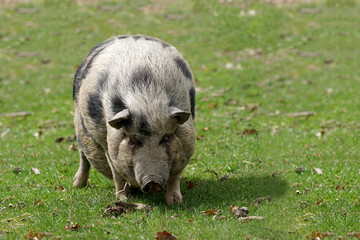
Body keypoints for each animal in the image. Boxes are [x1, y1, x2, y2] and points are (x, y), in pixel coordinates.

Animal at [73, 34, 195, 203]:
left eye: (165, 137)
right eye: (134, 140)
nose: (152, 182)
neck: (147, 98)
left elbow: (175, 176)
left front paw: (174, 201)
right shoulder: (109, 145)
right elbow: (117, 174)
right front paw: (123, 200)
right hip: (79, 129)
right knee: (83, 157)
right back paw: (77, 185)